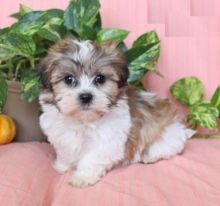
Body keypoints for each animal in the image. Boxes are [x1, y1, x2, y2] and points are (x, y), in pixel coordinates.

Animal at [38, 37, 195, 187]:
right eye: (69, 79)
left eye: (100, 78)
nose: (86, 96)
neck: (83, 120)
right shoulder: (60, 134)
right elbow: (65, 150)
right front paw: (61, 165)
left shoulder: (108, 140)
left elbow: (92, 158)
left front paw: (83, 177)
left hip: (167, 136)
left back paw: (150, 156)